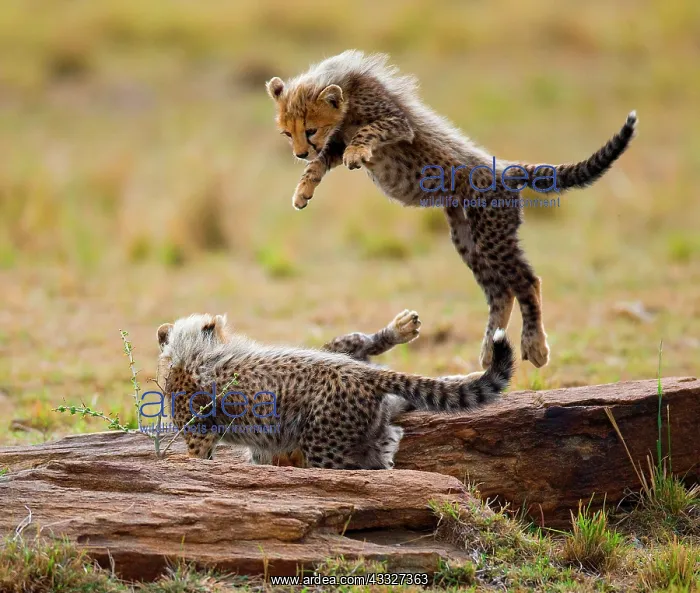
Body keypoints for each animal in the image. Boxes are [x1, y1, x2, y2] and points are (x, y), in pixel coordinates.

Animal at [156, 309, 514, 469]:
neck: (194, 349)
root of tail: (362, 374)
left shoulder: (199, 433)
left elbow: (199, 453)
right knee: (391, 431)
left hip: (323, 447)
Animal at [265, 50, 637, 370]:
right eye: (286, 133)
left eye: (310, 129)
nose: (298, 152)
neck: (345, 92)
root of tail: (504, 168)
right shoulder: (334, 142)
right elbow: (320, 163)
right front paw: (303, 190)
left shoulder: (395, 122)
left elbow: (368, 131)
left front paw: (355, 153)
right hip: (467, 240)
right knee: (500, 291)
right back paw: (489, 351)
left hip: (492, 233)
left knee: (528, 282)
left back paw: (534, 346)